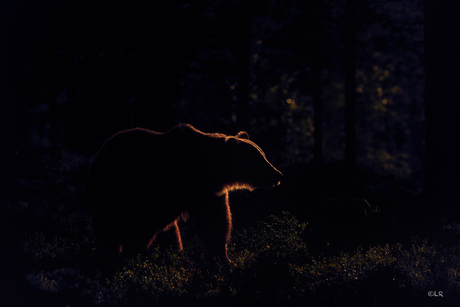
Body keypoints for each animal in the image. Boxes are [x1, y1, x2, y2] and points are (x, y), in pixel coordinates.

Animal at [86, 122, 280, 272]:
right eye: (259, 159)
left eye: (263, 154)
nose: (278, 175)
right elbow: (145, 229)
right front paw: (135, 257)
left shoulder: (209, 194)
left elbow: (215, 224)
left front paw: (224, 260)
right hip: (112, 193)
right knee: (110, 231)